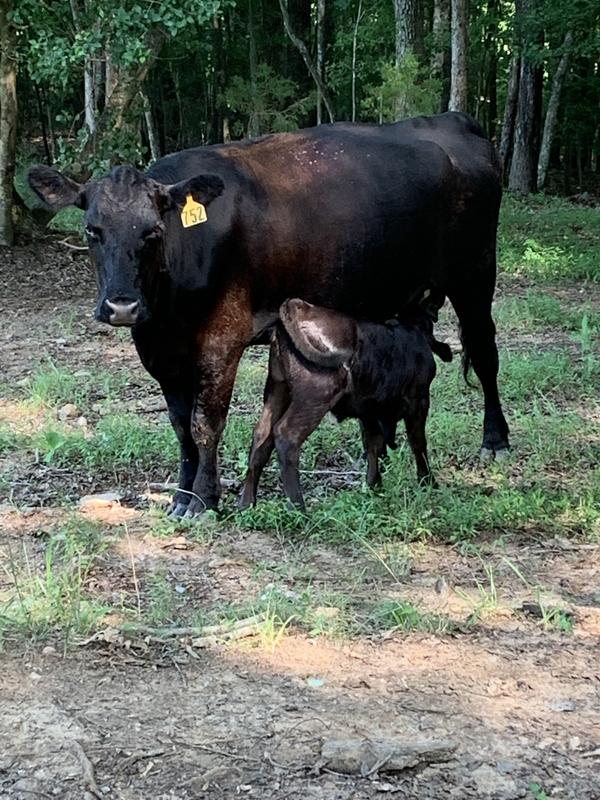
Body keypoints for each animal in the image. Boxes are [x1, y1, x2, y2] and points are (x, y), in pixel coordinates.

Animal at [239, 298, 453, 510]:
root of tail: (297, 305)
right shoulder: (418, 399)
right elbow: (418, 443)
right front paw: (428, 482)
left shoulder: (368, 409)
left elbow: (373, 444)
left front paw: (374, 486)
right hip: (315, 396)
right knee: (286, 436)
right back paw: (298, 507)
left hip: (277, 389)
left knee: (261, 435)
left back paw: (246, 504)